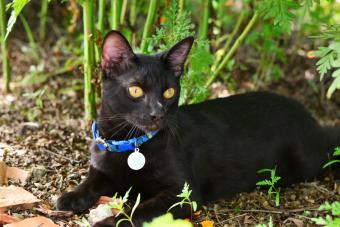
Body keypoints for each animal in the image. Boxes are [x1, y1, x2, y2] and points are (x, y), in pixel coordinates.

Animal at [56, 31, 340, 226]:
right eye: (135, 90)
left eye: (169, 92)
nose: (158, 113)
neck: (129, 144)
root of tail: (309, 116)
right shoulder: (102, 170)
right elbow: (89, 182)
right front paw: (70, 197)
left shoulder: (182, 194)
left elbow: (137, 211)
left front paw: (106, 222)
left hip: (307, 161)